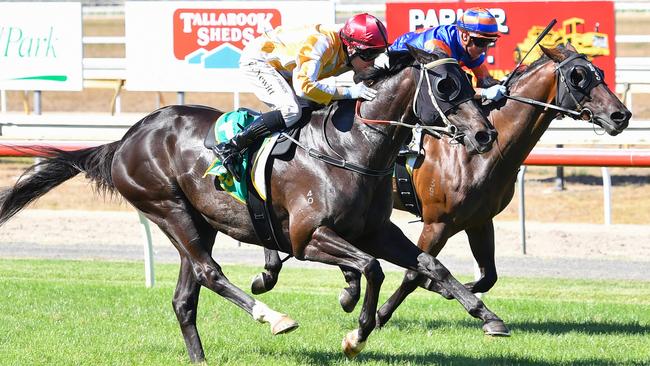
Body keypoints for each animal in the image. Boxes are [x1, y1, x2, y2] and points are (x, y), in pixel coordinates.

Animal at [0, 46, 502, 364]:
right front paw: (354, 332)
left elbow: (428, 266)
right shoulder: (306, 237)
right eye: (445, 86)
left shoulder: (376, 231)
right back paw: (273, 317)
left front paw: (489, 318)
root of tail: (124, 139)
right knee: (209, 273)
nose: (485, 135)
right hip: (167, 208)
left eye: (470, 83)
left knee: (185, 297)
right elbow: (371, 268)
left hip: (200, 220)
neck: (352, 148)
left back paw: (202, 358)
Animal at [248, 43, 628, 326]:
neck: (476, 154)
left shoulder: (479, 220)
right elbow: (415, 273)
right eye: (579, 77)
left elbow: (485, 276)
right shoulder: (438, 222)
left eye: (600, 73)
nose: (621, 115)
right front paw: (383, 313)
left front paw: (458, 296)